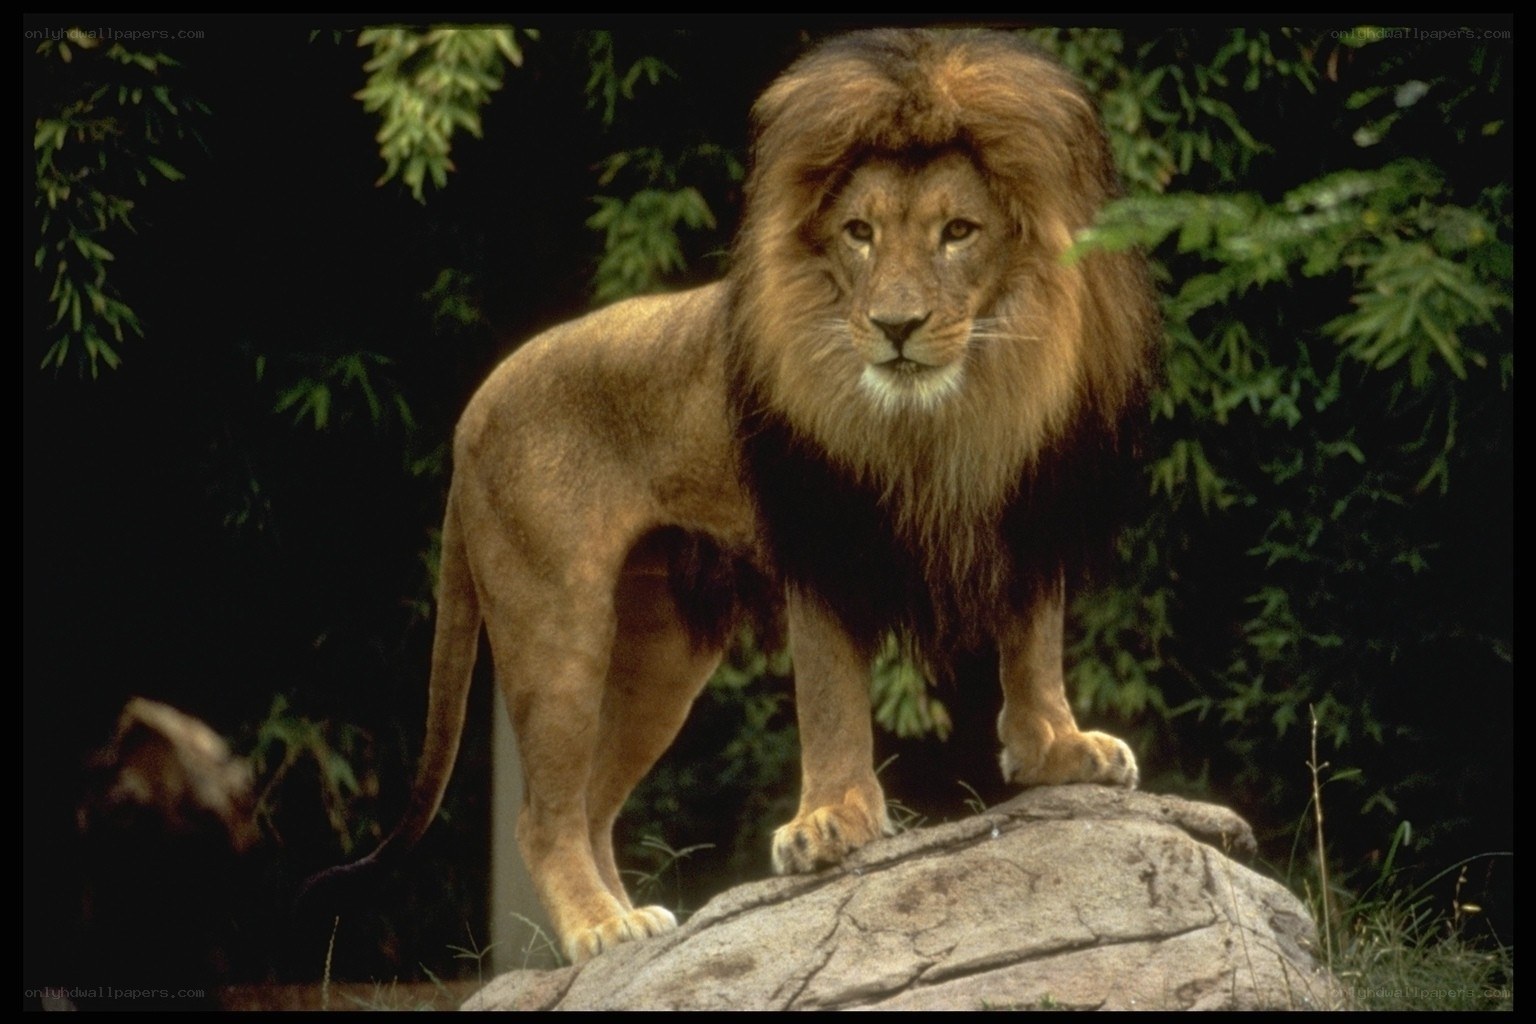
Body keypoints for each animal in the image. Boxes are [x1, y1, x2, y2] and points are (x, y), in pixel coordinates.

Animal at [331, 29, 1157, 965]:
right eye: (860, 233)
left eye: (959, 232)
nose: (895, 326)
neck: (946, 416)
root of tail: (474, 407)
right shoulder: (824, 538)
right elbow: (831, 695)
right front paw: (831, 822)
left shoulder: (1028, 512)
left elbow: (1034, 647)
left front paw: (1058, 749)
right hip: (557, 622)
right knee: (545, 815)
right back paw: (600, 930)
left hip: (660, 654)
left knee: (590, 803)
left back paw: (636, 924)